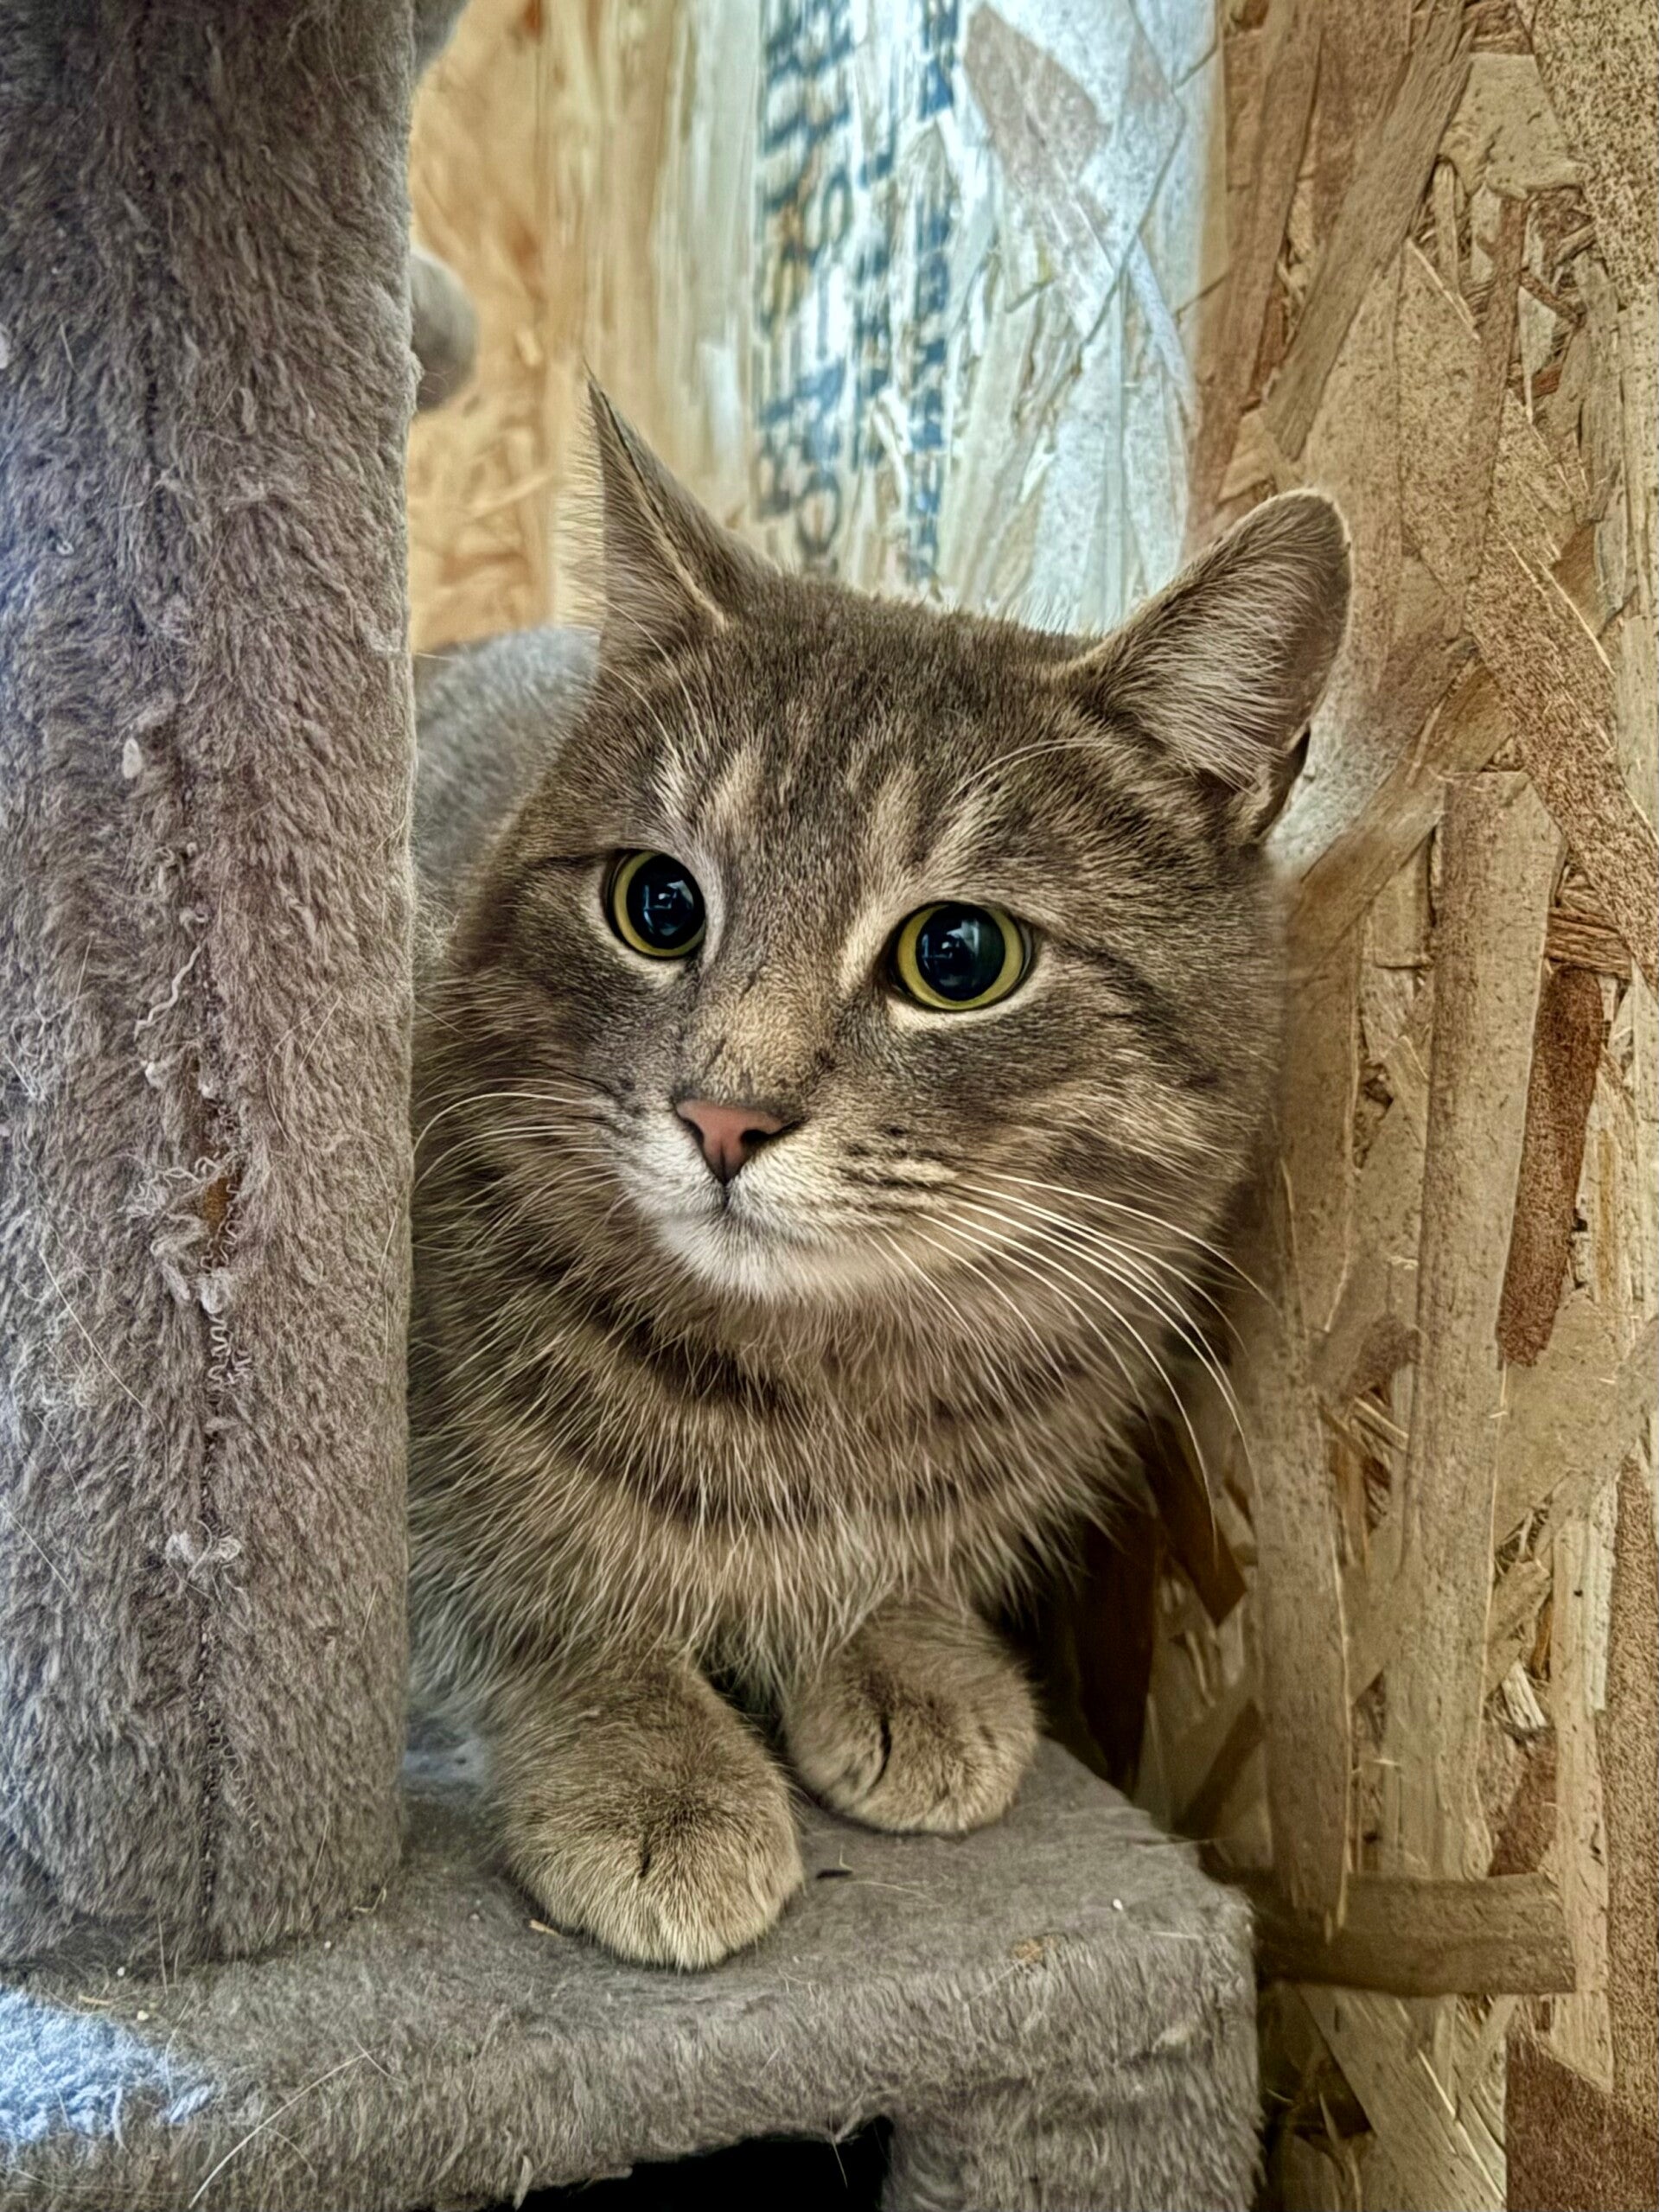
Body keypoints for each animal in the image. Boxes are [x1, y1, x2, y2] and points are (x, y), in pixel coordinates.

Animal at [408, 387, 1350, 1970]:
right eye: (655, 903)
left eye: (956, 955)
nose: (722, 1113)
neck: (826, 1382)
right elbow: (533, 1590)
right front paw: (651, 1762)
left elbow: (908, 1564)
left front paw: (903, 1647)